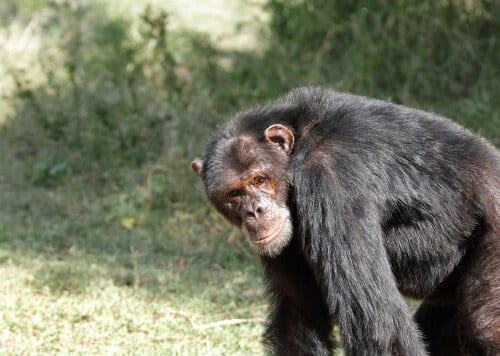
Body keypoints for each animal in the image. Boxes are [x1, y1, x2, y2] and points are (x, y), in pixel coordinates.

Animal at [189, 87, 498, 356]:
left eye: (260, 180)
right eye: (234, 193)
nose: (255, 210)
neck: (299, 149)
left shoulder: (331, 180)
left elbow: (380, 325)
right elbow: (299, 308)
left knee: (482, 322)